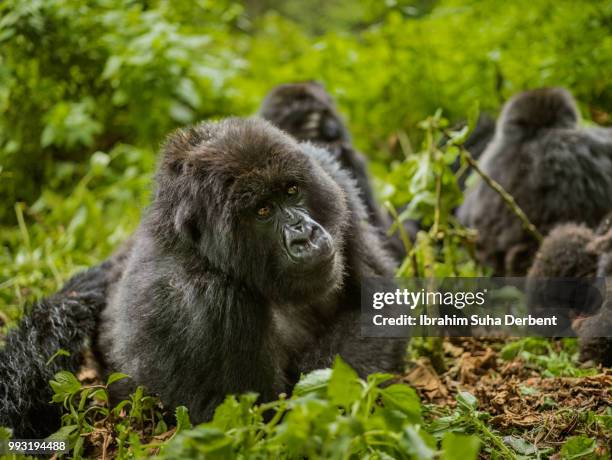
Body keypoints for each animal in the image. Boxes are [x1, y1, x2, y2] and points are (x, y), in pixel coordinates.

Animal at [97, 117, 406, 424]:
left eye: (291, 190)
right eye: (263, 211)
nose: (305, 236)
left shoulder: (331, 176)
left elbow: (379, 304)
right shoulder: (205, 302)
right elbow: (264, 418)